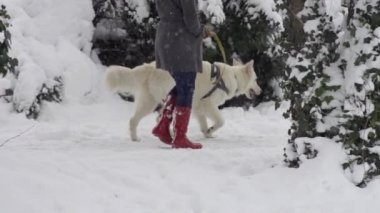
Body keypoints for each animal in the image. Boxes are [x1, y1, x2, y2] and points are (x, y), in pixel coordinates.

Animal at [105, 59, 262, 141]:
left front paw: (207, 133)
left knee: (143, 119)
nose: (261, 91)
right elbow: (221, 121)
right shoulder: (207, 105)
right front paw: (210, 130)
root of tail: (149, 66)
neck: (234, 77)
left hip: (149, 102)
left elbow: (204, 124)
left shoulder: (198, 108)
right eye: (256, 79)